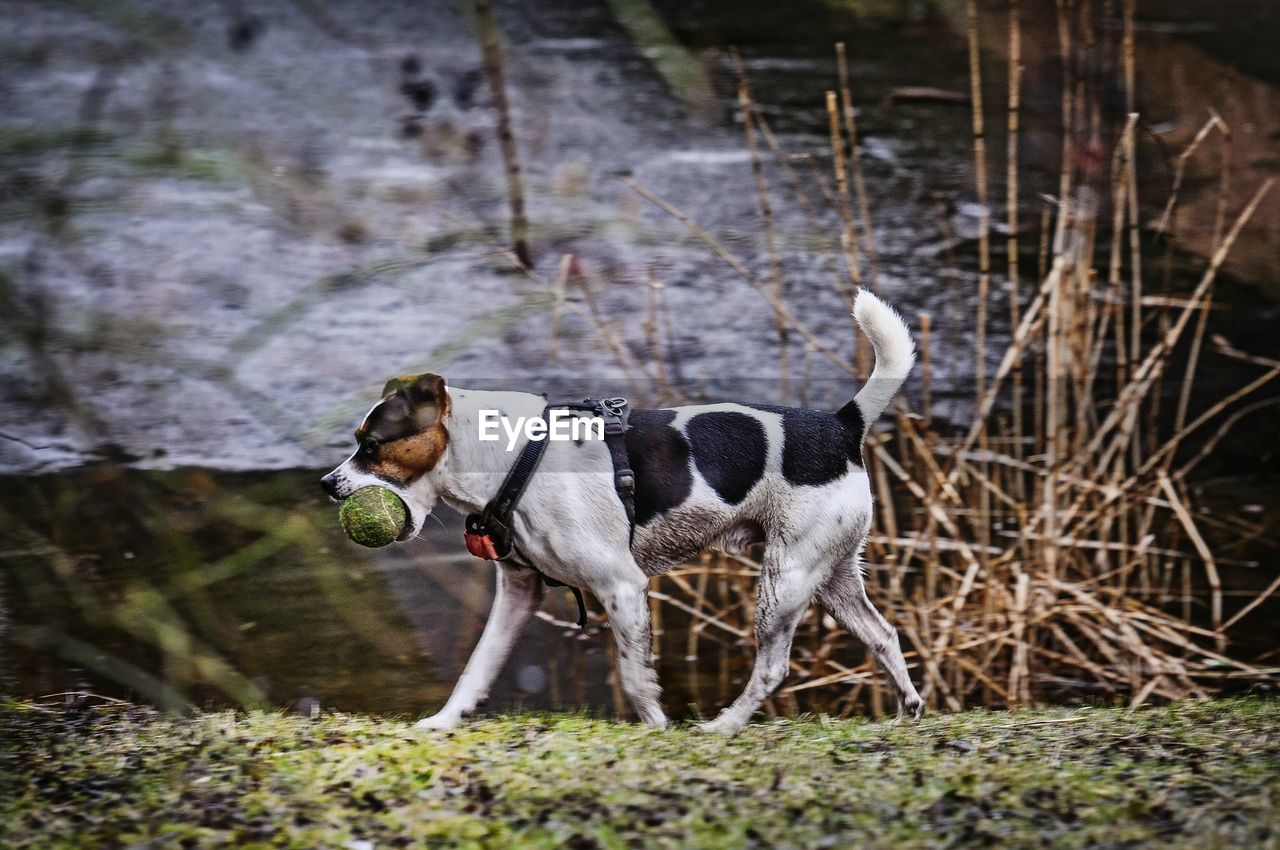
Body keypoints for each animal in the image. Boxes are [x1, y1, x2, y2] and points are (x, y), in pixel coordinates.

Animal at [318, 289, 921, 732]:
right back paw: (908, 711)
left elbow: (634, 678)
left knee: (773, 667)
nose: (327, 484)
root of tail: (842, 425)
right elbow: (477, 667)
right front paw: (444, 722)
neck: (513, 453)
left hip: (785, 581)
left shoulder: (622, 588)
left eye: (370, 445)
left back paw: (723, 727)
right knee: (883, 635)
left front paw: (657, 728)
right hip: (831, 576)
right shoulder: (518, 593)